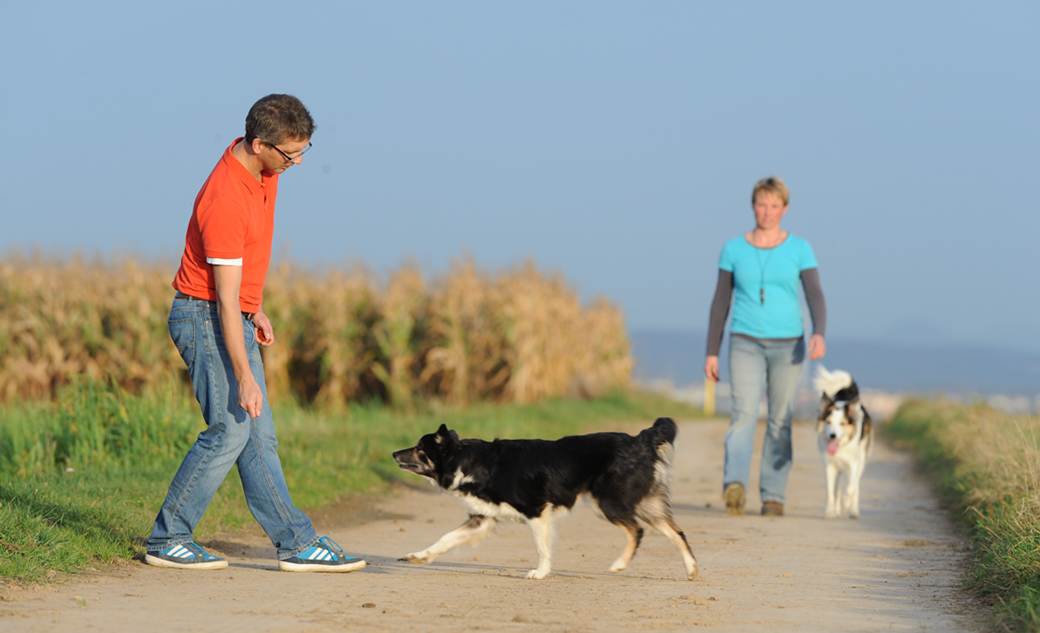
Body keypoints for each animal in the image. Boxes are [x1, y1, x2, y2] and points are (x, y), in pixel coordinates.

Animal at [391, 417, 698, 582]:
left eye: (419, 448)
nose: (393, 453)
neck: (469, 462)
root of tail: (641, 439)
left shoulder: (536, 511)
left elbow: (542, 547)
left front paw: (540, 573)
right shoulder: (483, 519)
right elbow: (445, 539)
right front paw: (419, 556)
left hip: (609, 503)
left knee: (637, 530)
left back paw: (620, 564)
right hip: (643, 502)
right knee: (677, 532)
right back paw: (692, 570)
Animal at [815, 365, 873, 517]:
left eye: (842, 423)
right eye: (828, 422)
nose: (832, 436)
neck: (840, 447)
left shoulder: (853, 463)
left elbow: (851, 487)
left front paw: (847, 504)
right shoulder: (829, 465)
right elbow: (831, 491)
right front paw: (830, 511)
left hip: (862, 459)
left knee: (855, 485)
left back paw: (853, 511)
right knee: (838, 487)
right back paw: (836, 510)